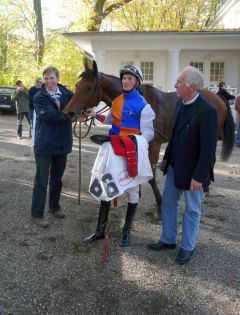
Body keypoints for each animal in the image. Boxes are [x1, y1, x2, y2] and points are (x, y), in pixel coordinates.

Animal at [63, 59, 234, 217]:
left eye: (89, 87)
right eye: (77, 85)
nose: (67, 113)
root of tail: (218, 98)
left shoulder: (153, 144)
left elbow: (151, 176)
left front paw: (159, 205)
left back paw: (204, 187)